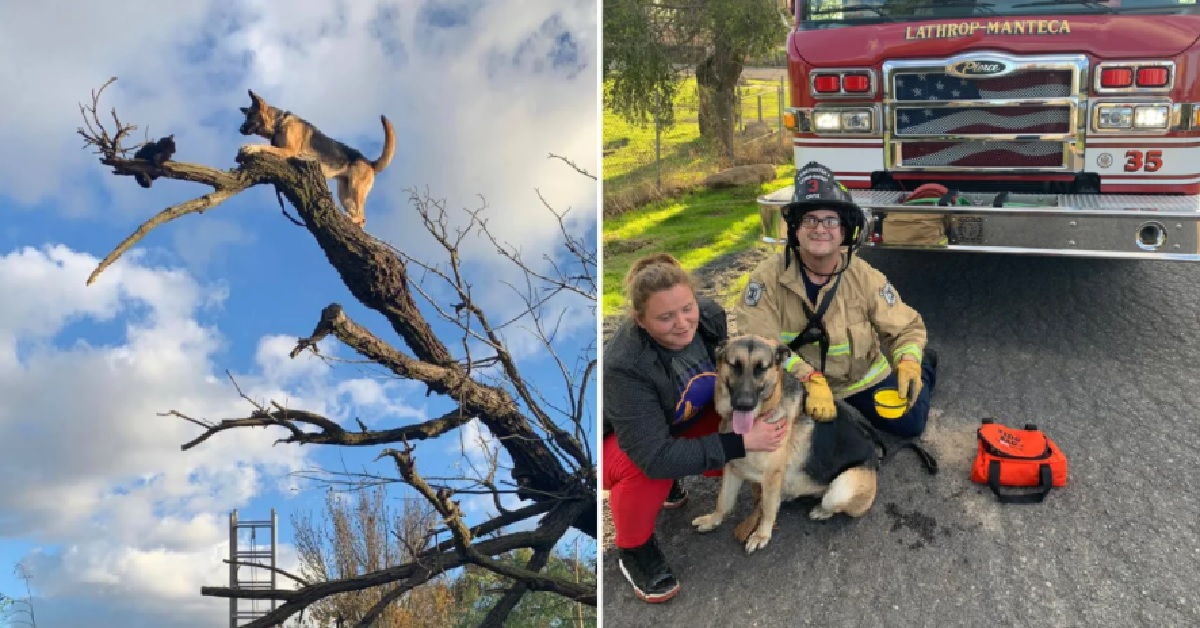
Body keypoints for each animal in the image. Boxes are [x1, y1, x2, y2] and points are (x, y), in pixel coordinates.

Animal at [691, 333, 878, 554]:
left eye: (761, 368)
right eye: (735, 365)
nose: (744, 404)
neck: (763, 414)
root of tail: (874, 459)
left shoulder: (771, 475)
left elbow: (767, 509)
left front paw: (761, 535)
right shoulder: (733, 467)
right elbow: (723, 501)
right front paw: (712, 519)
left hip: (841, 489)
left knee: (830, 501)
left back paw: (820, 510)